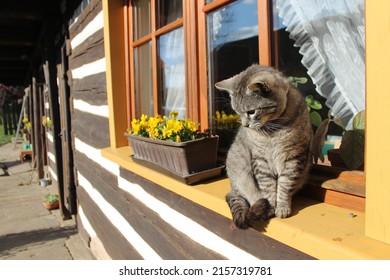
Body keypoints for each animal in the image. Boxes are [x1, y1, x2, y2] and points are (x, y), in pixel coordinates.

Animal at [215, 65, 312, 230]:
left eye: (251, 112)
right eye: (237, 112)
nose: (245, 125)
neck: (274, 129)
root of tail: (231, 188)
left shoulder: (293, 157)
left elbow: (285, 185)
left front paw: (282, 207)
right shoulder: (260, 159)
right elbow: (267, 186)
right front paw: (271, 207)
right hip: (240, 173)